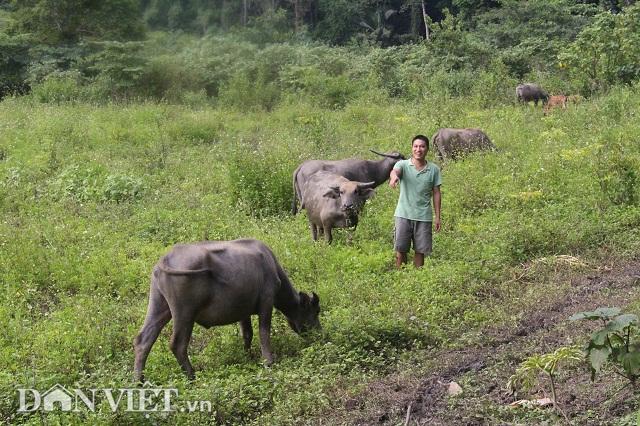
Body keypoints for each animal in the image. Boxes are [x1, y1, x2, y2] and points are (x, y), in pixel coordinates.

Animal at [132, 238, 320, 382]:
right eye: (315, 311)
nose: (320, 333)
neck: (270, 264)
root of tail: (165, 259)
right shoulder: (266, 302)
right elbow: (264, 332)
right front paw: (268, 361)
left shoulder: (244, 311)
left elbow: (247, 334)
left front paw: (247, 356)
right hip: (184, 312)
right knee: (178, 344)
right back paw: (192, 376)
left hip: (159, 305)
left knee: (144, 339)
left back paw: (139, 380)